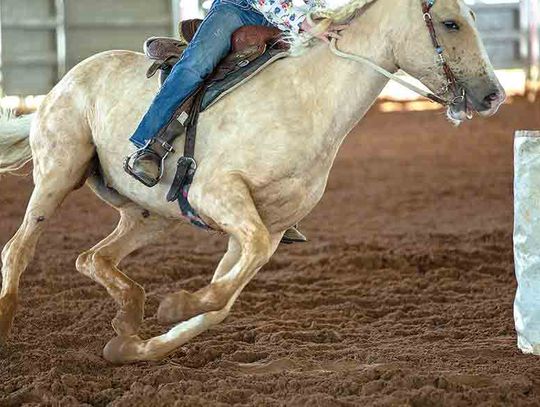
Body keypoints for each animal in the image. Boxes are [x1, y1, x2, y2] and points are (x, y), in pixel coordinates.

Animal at [1, 0, 506, 364]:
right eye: (451, 23)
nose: (493, 95)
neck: (309, 99)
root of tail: (65, 81)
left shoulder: (269, 226)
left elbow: (223, 300)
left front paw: (144, 341)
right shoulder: (218, 195)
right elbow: (241, 268)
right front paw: (174, 309)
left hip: (151, 215)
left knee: (92, 258)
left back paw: (129, 316)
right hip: (58, 173)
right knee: (19, 248)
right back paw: (9, 323)